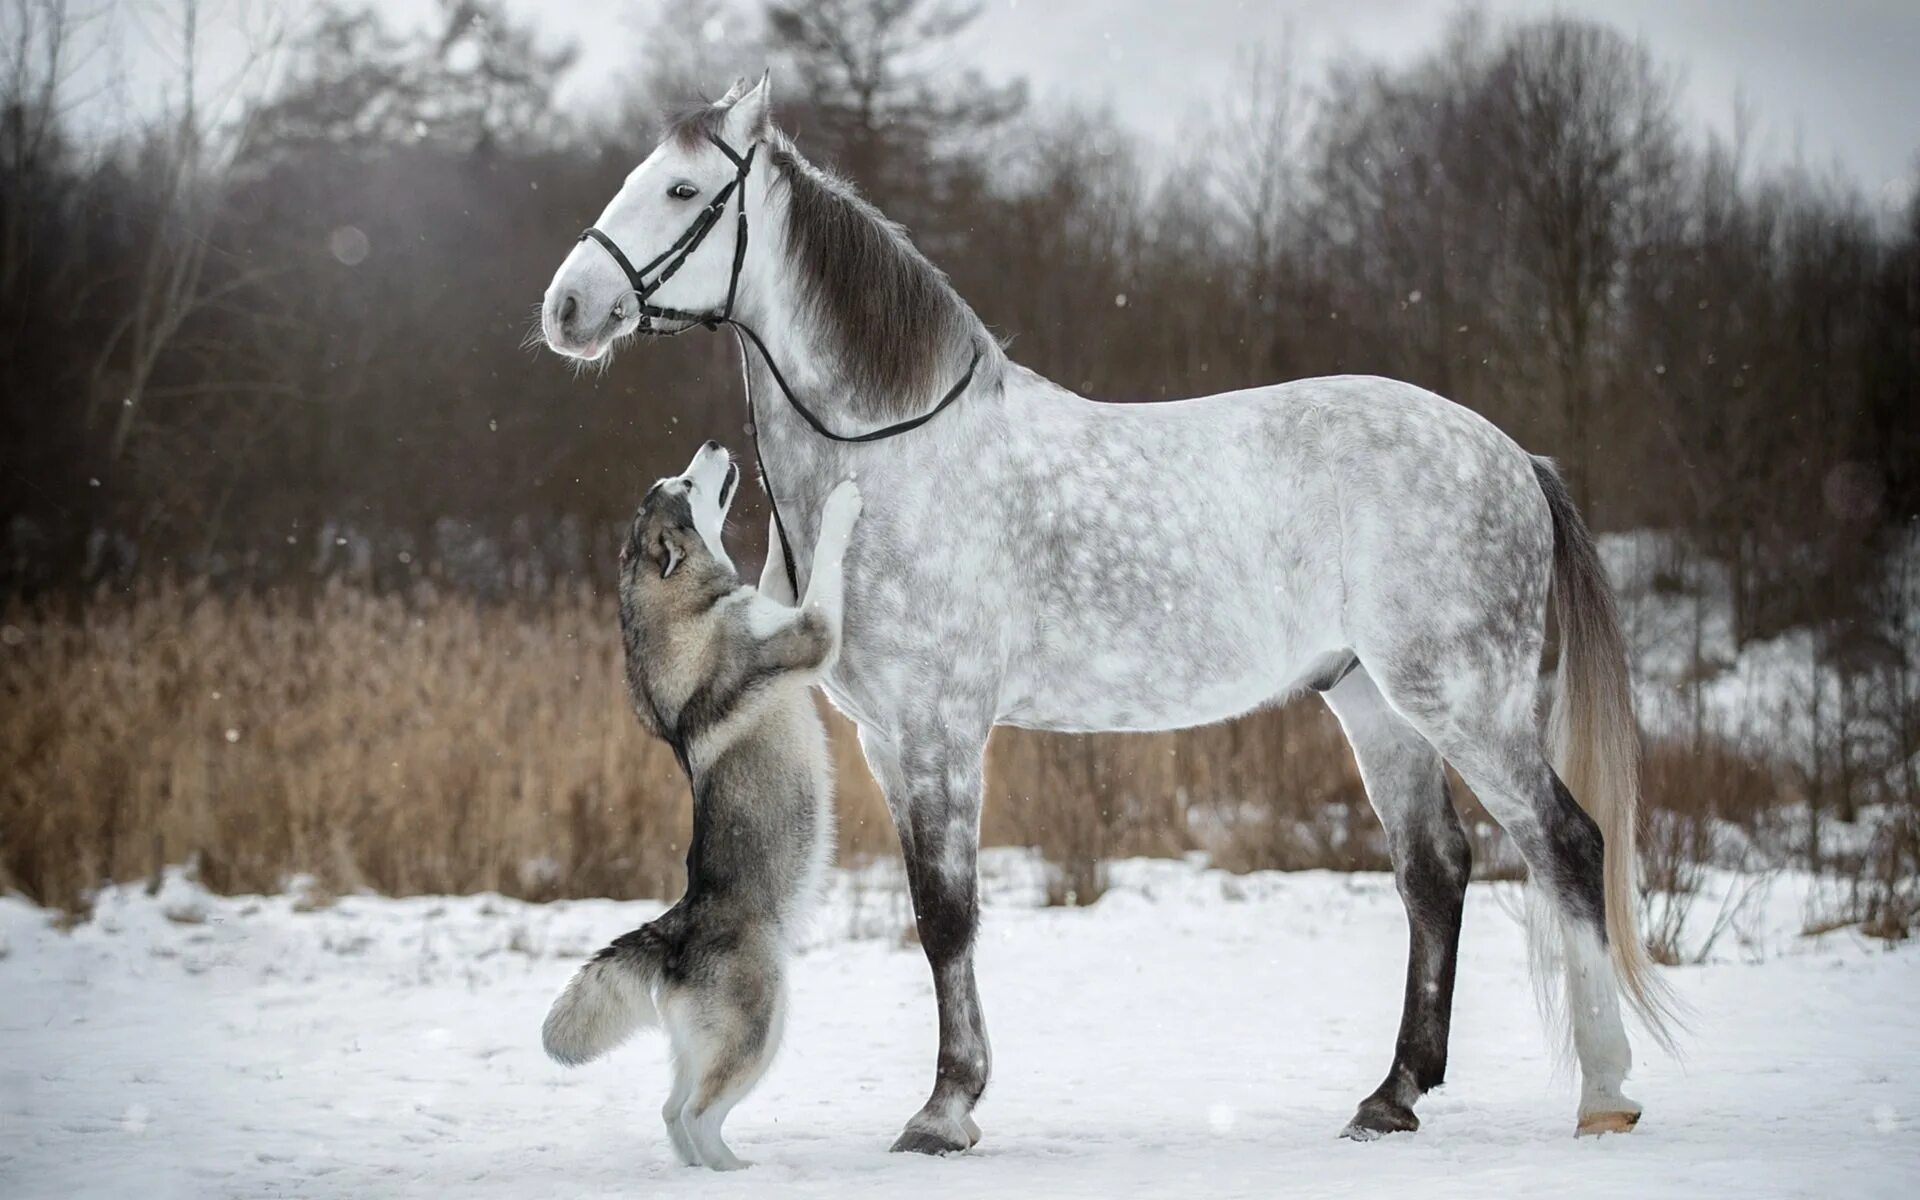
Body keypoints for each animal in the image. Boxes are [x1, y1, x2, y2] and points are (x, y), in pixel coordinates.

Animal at [545, 439, 867, 1167]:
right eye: (686, 484)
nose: (718, 445)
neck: (689, 607)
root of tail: (673, 933)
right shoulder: (810, 632)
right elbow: (824, 570)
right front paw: (840, 502)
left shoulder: (779, 608)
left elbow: (777, 572)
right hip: (760, 1027)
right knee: (696, 1113)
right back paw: (733, 1171)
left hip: (709, 1043)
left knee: (672, 1111)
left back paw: (704, 1170)